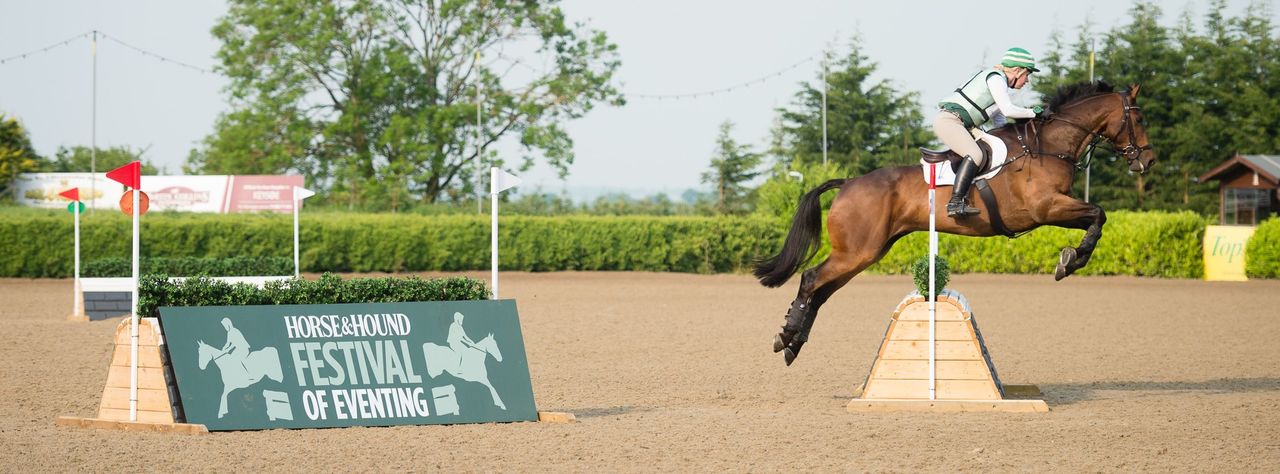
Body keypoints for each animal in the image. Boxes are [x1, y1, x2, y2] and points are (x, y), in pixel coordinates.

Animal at [754, 81, 1156, 366]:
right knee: (811, 280)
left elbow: (1096, 216)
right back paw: (786, 338)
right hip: (857, 251)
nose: (1148, 162)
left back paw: (792, 343)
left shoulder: (1054, 209)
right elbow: (1098, 214)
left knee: (821, 291)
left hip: (865, 252)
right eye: (1138, 119)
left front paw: (1072, 258)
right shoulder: (1046, 208)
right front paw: (1071, 261)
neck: (1048, 146)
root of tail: (848, 183)